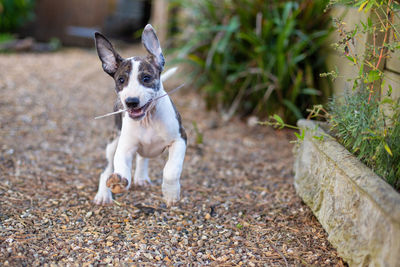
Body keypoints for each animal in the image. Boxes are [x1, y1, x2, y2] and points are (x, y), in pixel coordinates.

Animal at [93, 24, 187, 206]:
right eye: (121, 80)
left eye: (146, 78)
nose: (131, 101)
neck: (148, 120)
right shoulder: (124, 148)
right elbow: (121, 167)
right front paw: (118, 182)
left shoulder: (180, 139)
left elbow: (171, 170)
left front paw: (171, 194)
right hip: (113, 140)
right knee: (106, 169)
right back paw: (103, 194)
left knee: (143, 158)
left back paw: (141, 177)